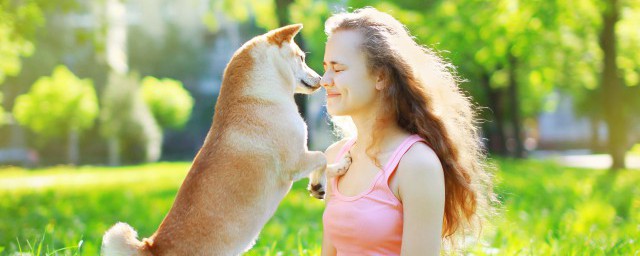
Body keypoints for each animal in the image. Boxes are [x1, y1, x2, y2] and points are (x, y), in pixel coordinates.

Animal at [100, 24, 350, 256]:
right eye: (302, 58)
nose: (321, 79)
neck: (256, 96)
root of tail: (152, 247)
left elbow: (325, 161)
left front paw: (332, 174)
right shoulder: (294, 161)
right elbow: (321, 157)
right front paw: (322, 180)